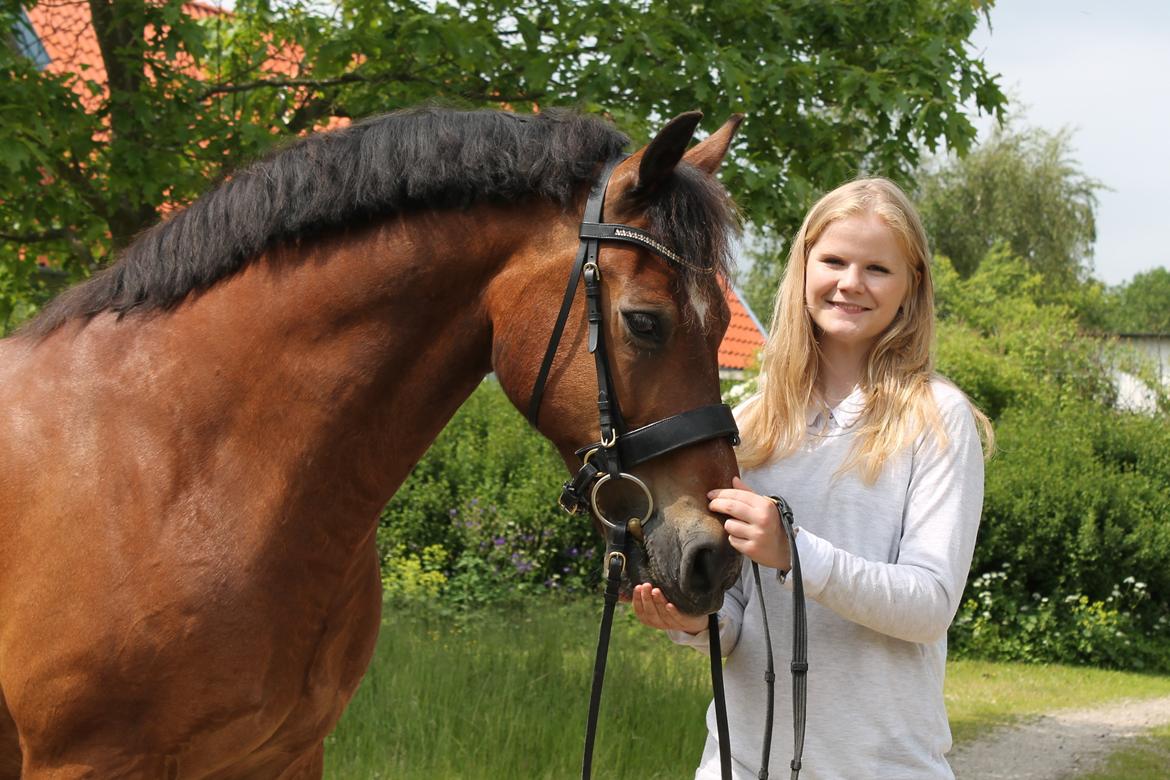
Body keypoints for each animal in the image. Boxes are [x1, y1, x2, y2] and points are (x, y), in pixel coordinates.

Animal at [2, 108, 739, 776]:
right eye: (644, 322)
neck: (179, 466)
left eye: (725, 325)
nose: (717, 555)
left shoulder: (287, 753)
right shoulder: (88, 762)